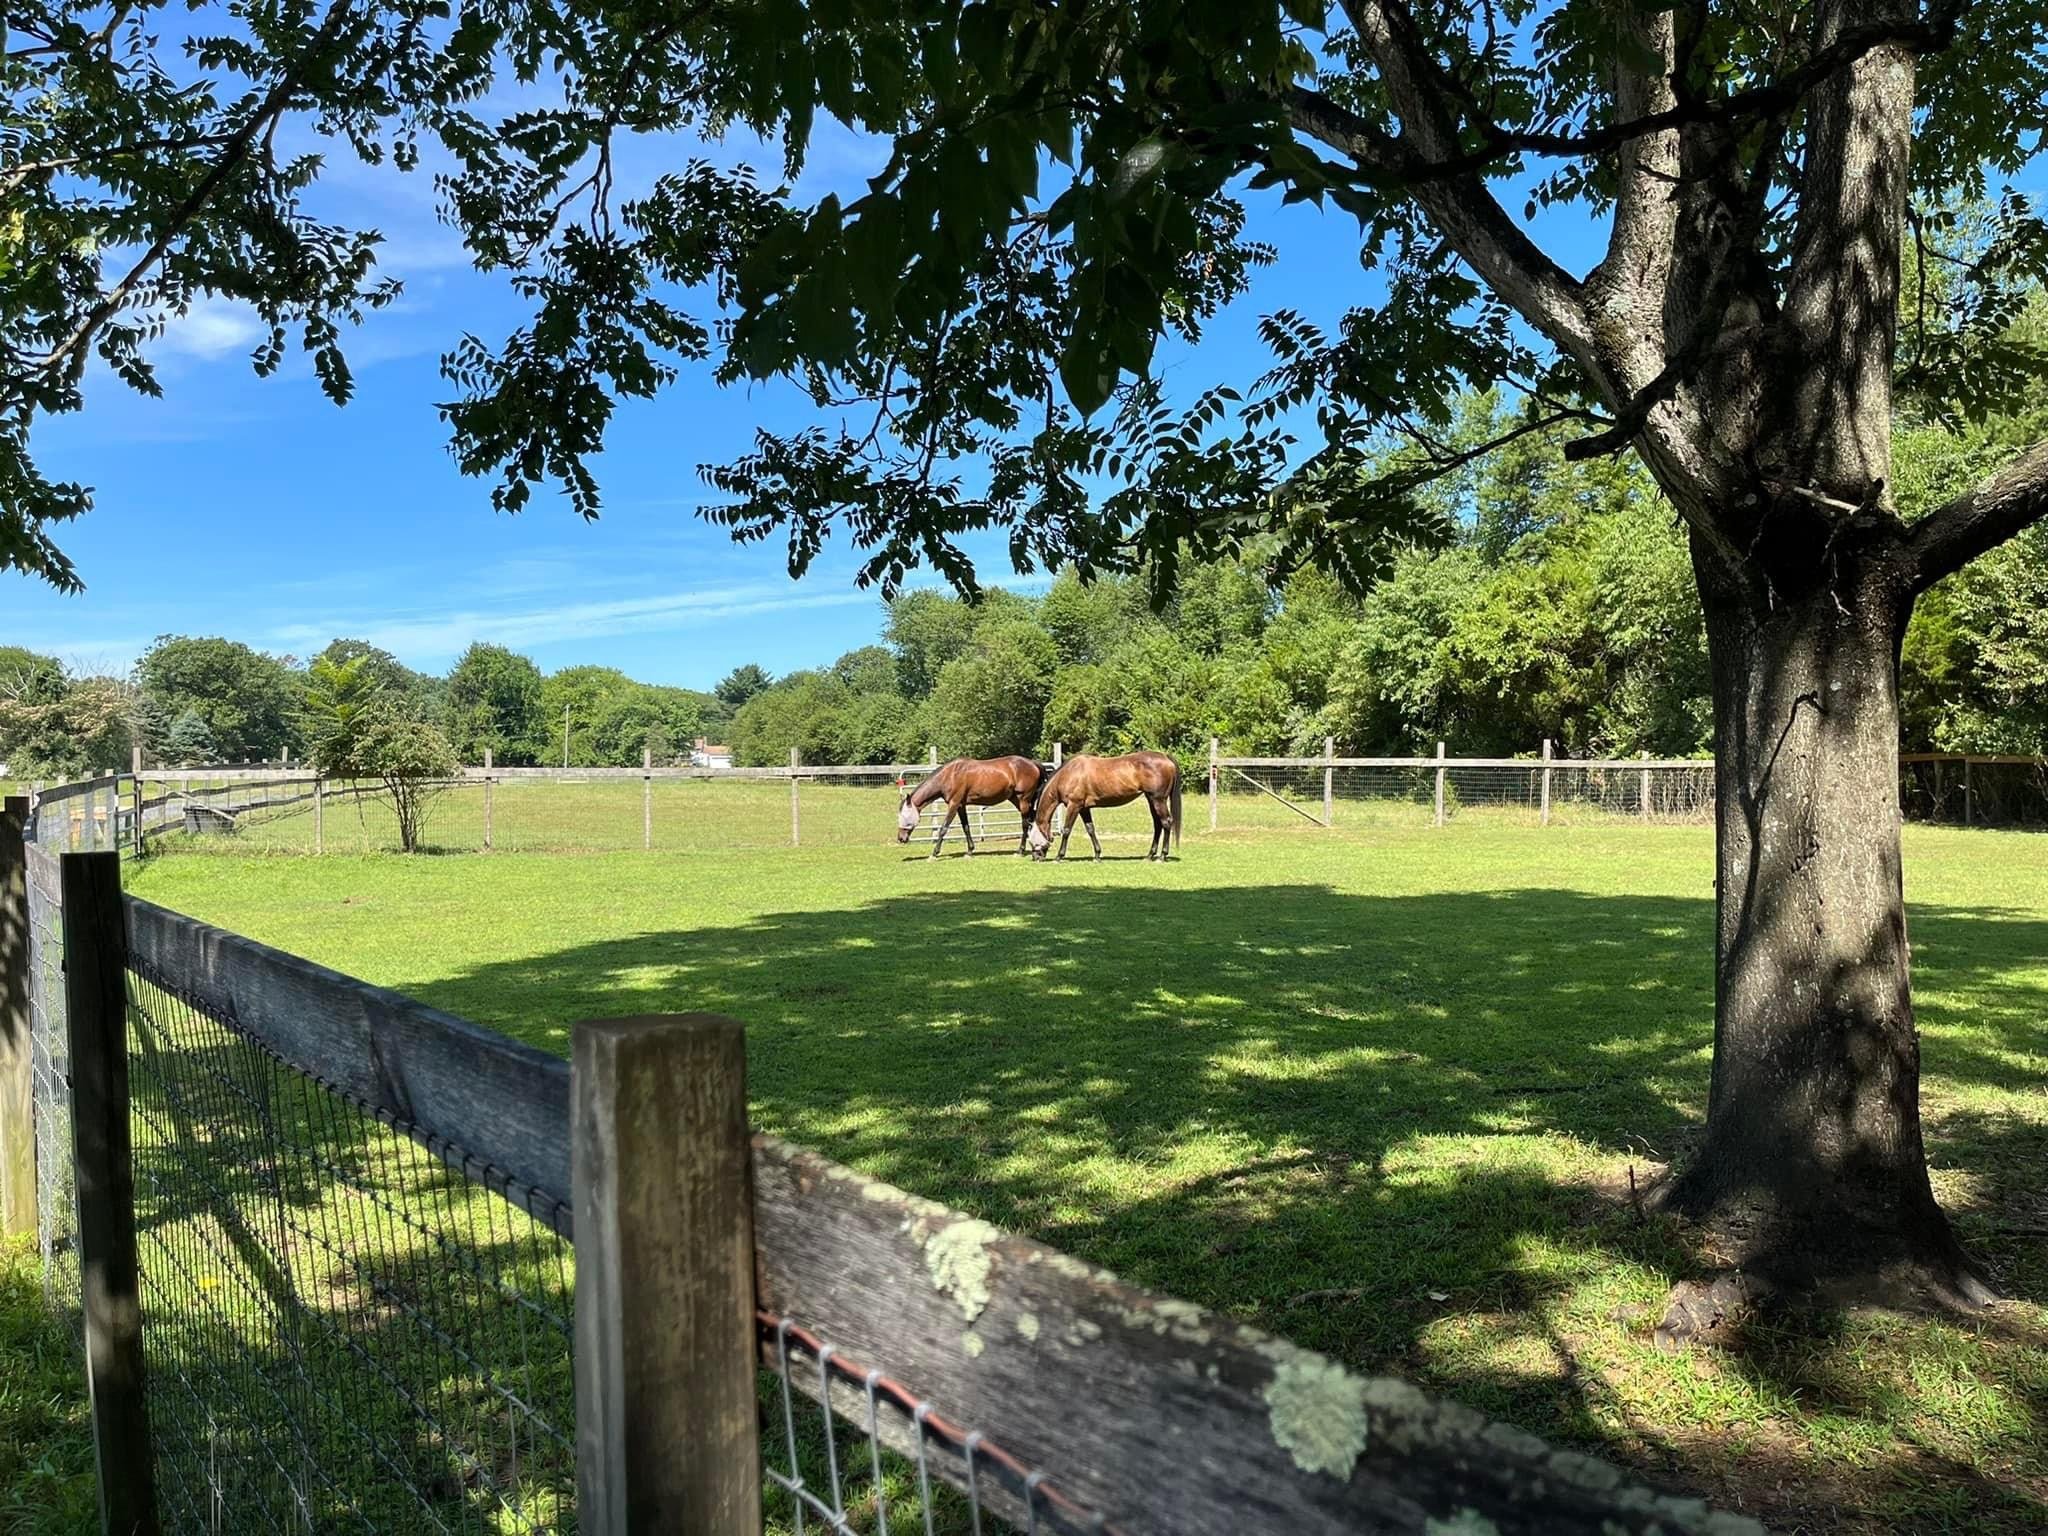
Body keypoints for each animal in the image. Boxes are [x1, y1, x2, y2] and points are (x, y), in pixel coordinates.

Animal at [897, 755, 1049, 857]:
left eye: (904, 815)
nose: (901, 838)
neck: (950, 775)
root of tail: (1033, 763)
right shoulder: (960, 806)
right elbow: (966, 827)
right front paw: (969, 851)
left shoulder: (953, 804)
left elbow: (944, 828)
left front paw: (934, 853)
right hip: (1017, 800)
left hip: (1023, 800)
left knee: (1025, 824)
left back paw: (1020, 851)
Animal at [1027, 751, 1182, 862]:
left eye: (1031, 841)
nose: (1035, 857)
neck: (1068, 774)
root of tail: (1166, 758)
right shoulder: (1084, 809)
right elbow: (1090, 829)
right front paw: (1097, 855)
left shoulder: (1074, 805)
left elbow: (1066, 830)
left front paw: (1059, 856)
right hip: (1152, 800)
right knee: (1158, 825)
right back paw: (1150, 855)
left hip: (1158, 800)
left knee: (1166, 823)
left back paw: (1162, 856)